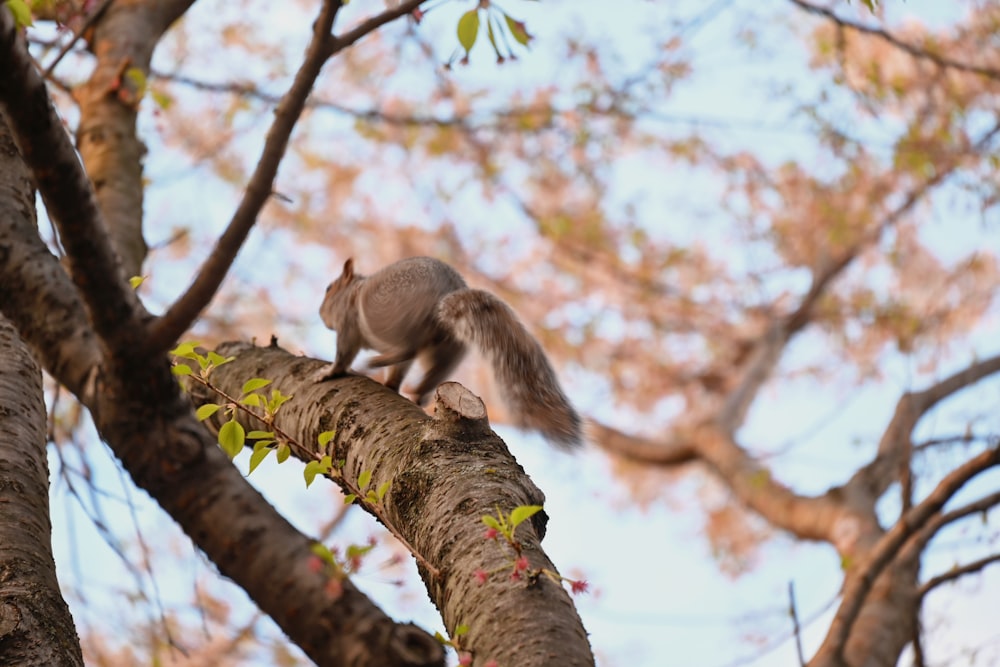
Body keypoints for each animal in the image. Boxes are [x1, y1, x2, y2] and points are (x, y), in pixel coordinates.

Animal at [310, 256, 580, 448]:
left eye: (328, 289)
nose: (320, 314)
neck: (350, 293)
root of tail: (443, 297)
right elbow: (399, 373)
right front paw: (391, 384)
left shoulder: (348, 323)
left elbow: (344, 354)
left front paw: (329, 372)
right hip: (450, 349)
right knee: (428, 370)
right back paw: (416, 393)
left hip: (389, 318)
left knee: (406, 350)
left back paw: (377, 361)